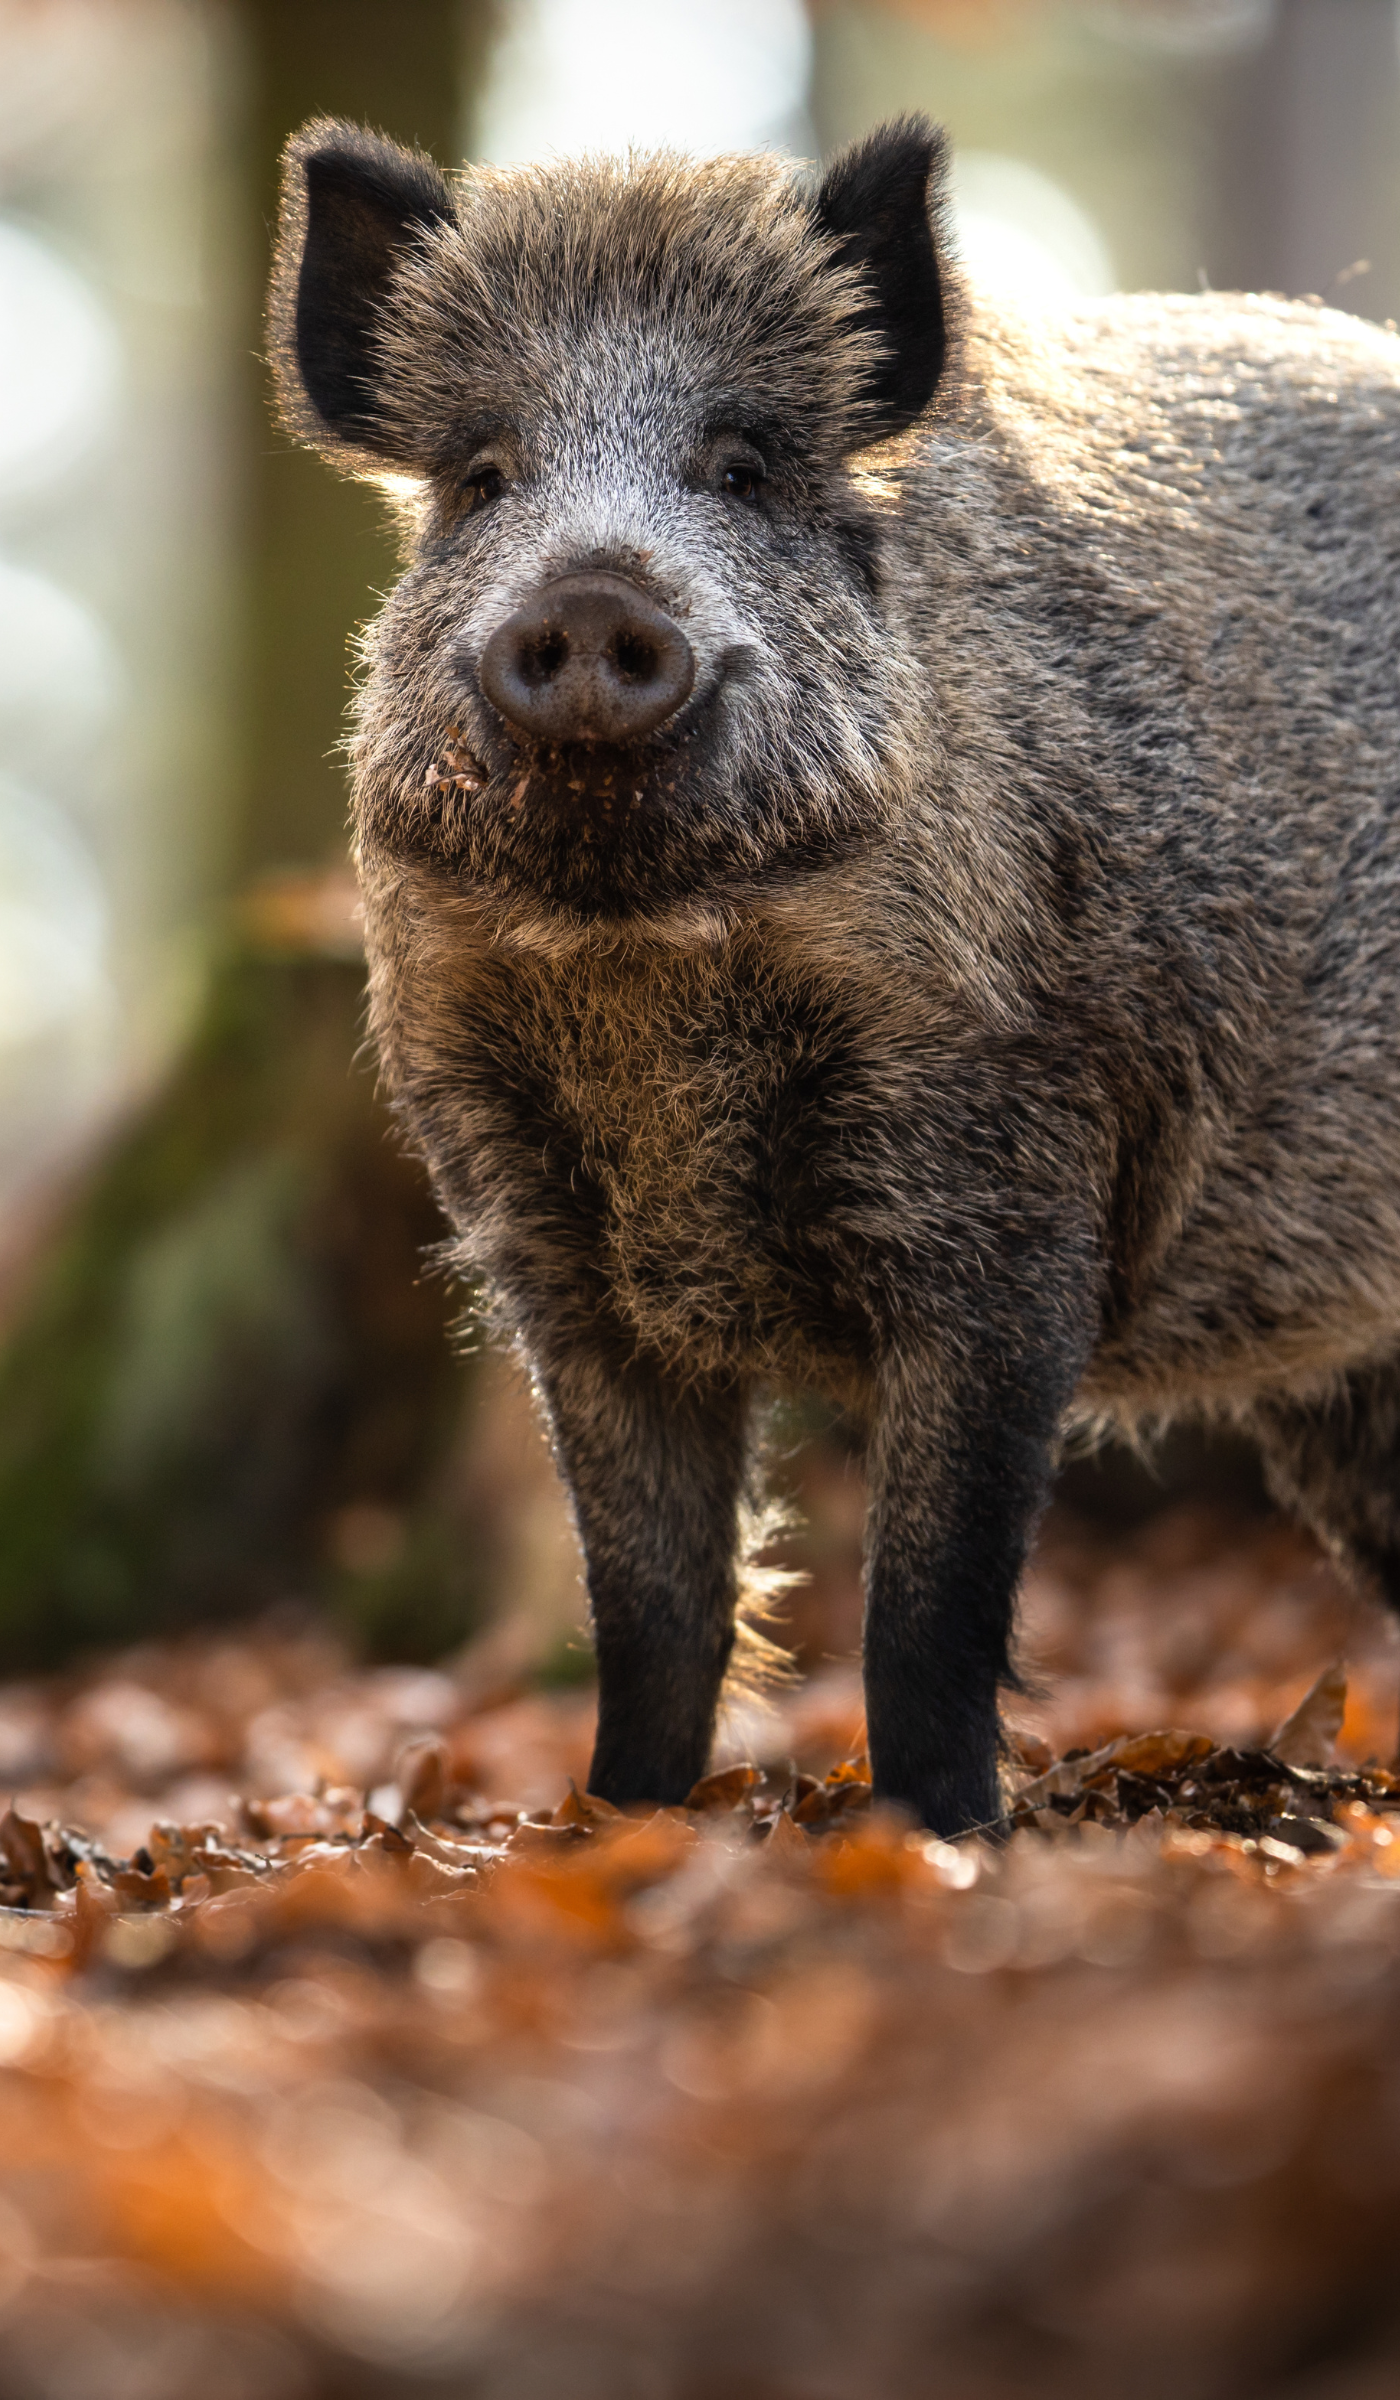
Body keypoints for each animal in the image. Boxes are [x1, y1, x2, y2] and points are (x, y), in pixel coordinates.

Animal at [269, 114, 1400, 1833]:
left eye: (742, 470)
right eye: (480, 478)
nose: (593, 596)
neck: (645, 965)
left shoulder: (1009, 1193)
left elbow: (929, 1604)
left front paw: (943, 1840)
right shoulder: (545, 1245)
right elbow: (652, 1606)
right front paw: (621, 1830)